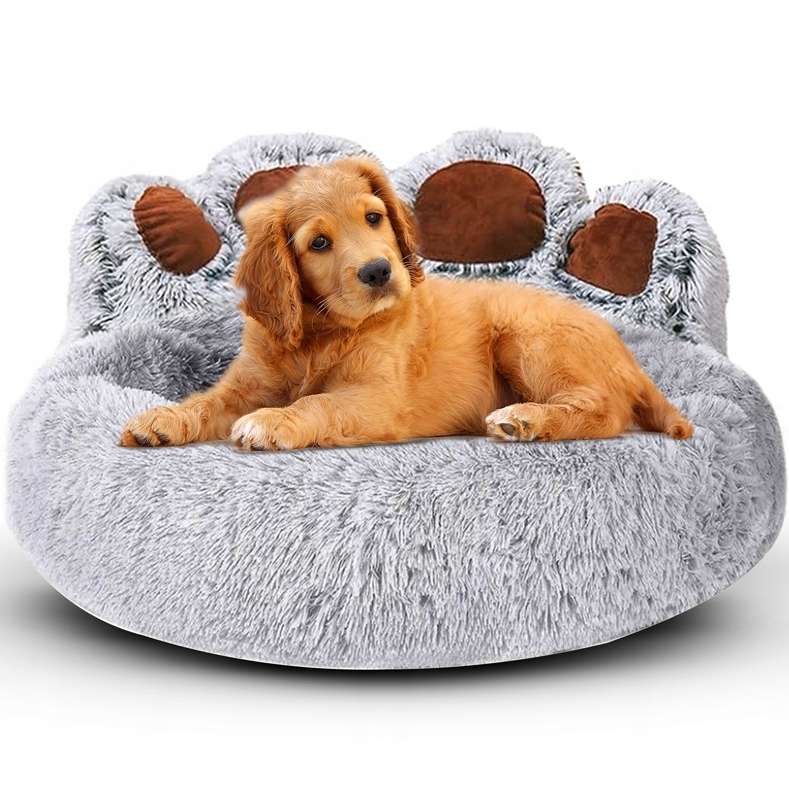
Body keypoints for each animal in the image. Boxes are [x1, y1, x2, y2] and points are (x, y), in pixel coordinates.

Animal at [120, 157, 693, 450]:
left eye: (374, 217)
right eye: (318, 243)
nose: (379, 271)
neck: (320, 332)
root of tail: (630, 359)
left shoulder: (377, 397)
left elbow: (316, 403)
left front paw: (273, 423)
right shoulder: (247, 384)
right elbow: (206, 402)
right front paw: (164, 418)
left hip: (529, 338)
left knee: (605, 410)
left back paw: (527, 419)